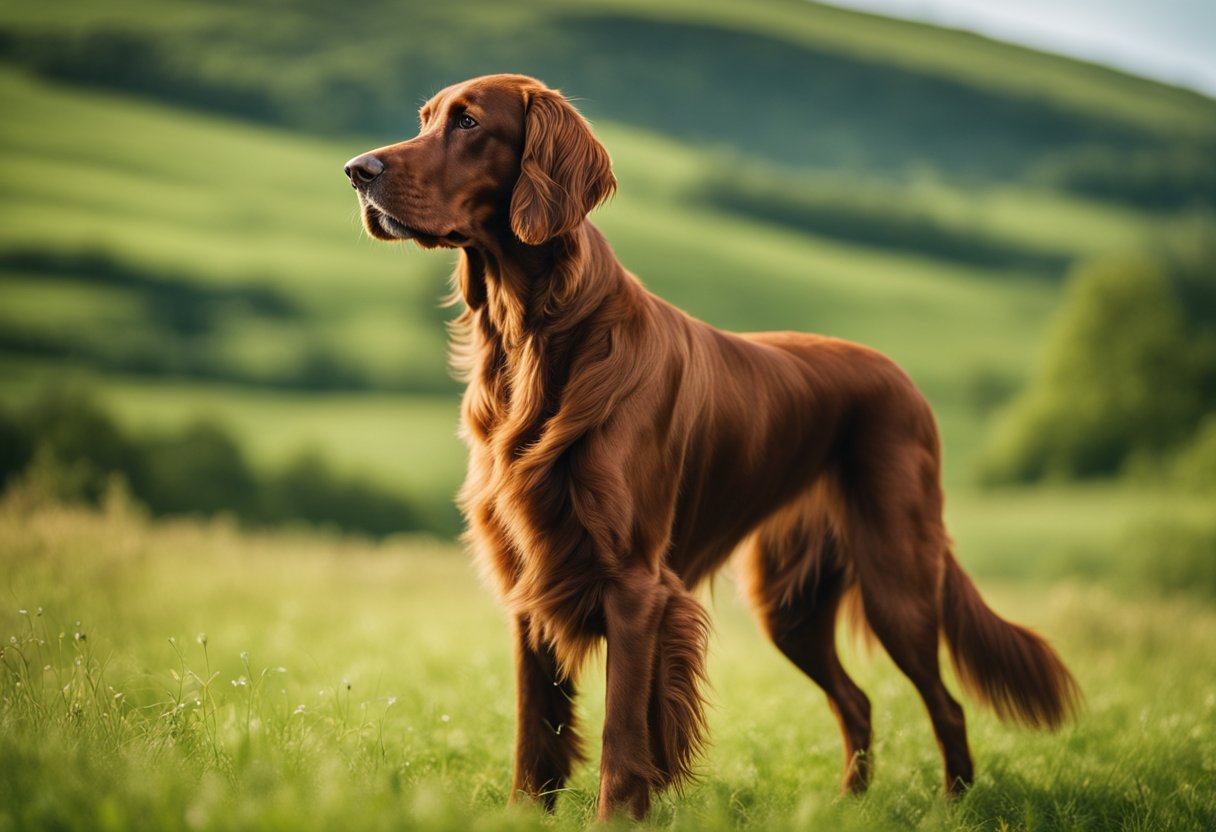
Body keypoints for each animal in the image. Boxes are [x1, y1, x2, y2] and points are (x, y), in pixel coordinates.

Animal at [347, 74, 1079, 822]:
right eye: (426, 119)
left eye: (468, 122)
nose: (356, 171)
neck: (534, 340)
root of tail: (905, 382)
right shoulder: (529, 579)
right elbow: (536, 729)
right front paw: (527, 815)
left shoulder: (635, 584)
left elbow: (620, 734)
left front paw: (616, 818)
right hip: (789, 607)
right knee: (858, 701)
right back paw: (847, 805)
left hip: (894, 579)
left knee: (946, 705)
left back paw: (952, 807)